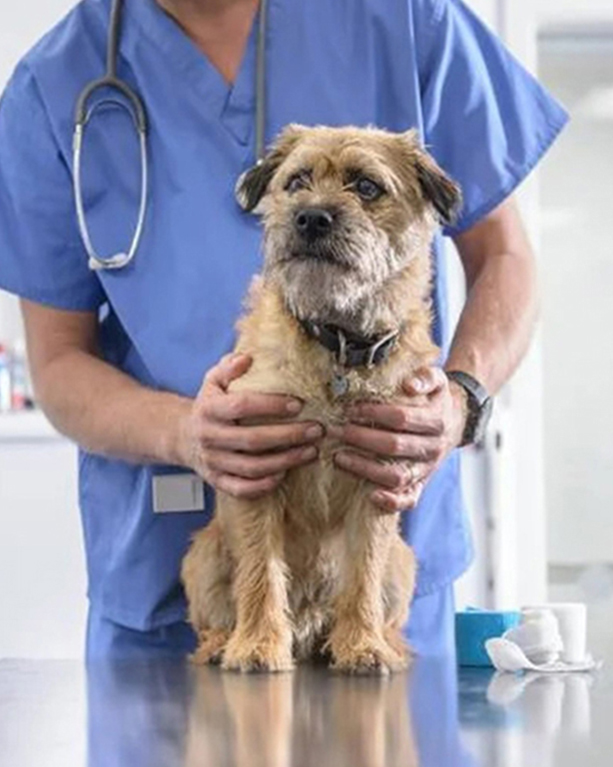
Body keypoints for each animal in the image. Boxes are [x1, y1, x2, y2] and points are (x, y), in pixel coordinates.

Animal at [180, 123, 460, 676]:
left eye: (367, 186)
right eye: (296, 182)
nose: (310, 217)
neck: (338, 345)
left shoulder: (379, 479)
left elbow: (363, 574)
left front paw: (363, 645)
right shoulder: (257, 471)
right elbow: (260, 572)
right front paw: (258, 645)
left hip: (404, 563)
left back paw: (381, 642)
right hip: (203, 555)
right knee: (212, 617)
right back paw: (223, 642)